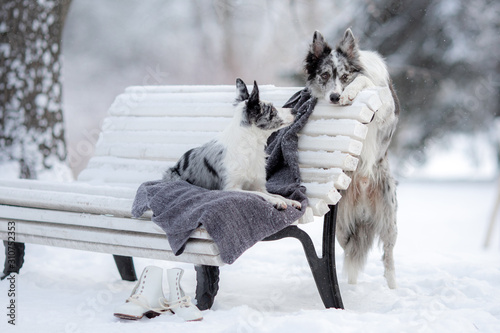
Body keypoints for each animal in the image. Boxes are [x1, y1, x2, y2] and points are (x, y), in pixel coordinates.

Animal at [164, 77, 300, 210]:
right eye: (272, 109)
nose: (295, 110)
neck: (249, 145)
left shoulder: (258, 185)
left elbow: (275, 194)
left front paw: (290, 200)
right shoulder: (231, 188)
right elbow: (260, 194)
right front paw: (276, 201)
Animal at [302, 29, 400, 288]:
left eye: (345, 76)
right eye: (324, 75)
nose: (336, 97)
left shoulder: (385, 107)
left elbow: (364, 82)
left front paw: (351, 92)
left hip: (389, 219)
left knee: (388, 256)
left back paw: (392, 287)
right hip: (341, 226)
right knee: (351, 251)